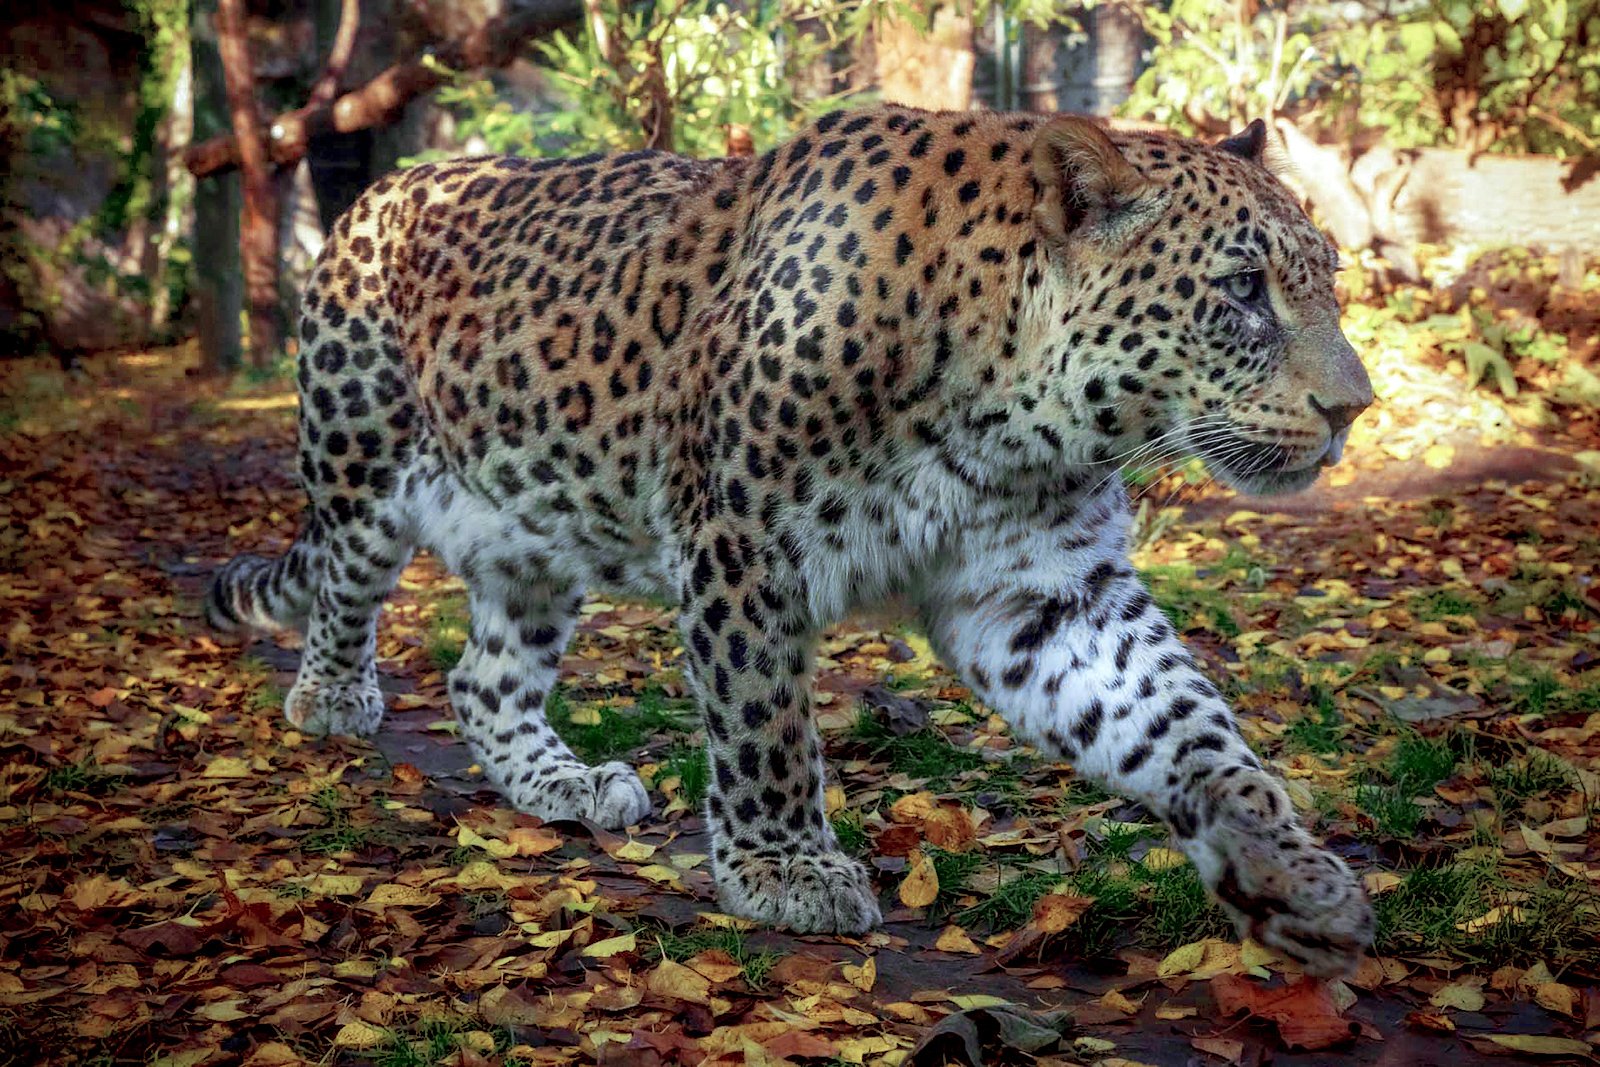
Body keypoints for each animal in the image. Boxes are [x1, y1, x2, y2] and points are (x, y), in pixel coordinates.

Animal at [203, 106, 1376, 979]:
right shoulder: (741, 541)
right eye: (1241, 290)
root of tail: (379, 190)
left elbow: (1183, 722)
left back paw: (563, 782)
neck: (1013, 413)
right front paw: (784, 869)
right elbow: (764, 719)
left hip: (535, 521)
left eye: (1321, 278)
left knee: (482, 677)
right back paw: (331, 700)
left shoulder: (1044, 594)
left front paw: (1289, 870)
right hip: (364, 464)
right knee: (344, 588)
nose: (1352, 410)